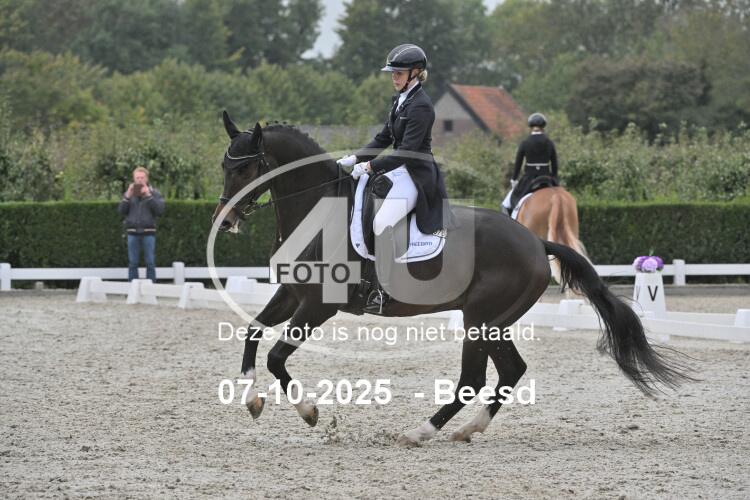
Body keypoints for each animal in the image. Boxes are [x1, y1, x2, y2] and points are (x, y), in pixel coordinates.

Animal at [212, 111, 690, 447]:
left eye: (245, 170)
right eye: (224, 166)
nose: (226, 221)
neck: (317, 213)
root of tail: (537, 243)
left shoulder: (318, 305)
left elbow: (277, 357)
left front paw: (310, 412)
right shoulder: (293, 294)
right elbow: (253, 333)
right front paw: (252, 400)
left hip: (480, 319)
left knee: (473, 379)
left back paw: (419, 432)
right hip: (493, 322)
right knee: (511, 370)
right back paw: (467, 430)